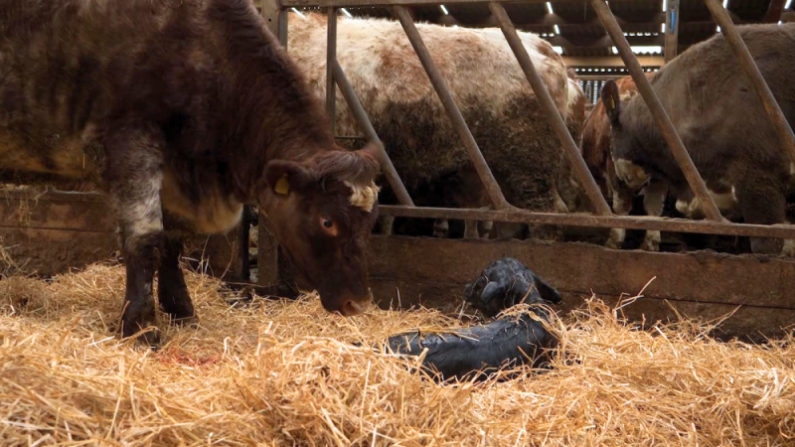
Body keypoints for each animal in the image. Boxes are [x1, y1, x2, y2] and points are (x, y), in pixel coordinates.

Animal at [0, 0, 386, 346]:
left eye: (371, 222)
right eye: (327, 221)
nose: (359, 303)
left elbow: (172, 241)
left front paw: (181, 310)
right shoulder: (130, 144)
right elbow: (145, 241)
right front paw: (141, 326)